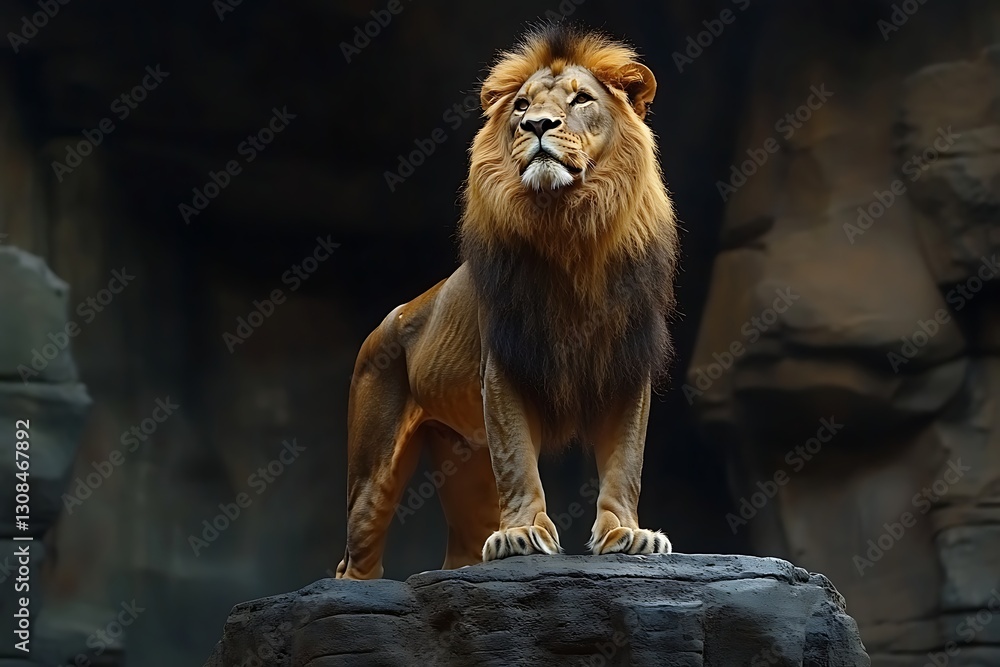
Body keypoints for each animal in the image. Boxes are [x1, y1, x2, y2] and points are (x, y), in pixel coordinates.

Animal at [336, 25, 678, 580]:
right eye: (522, 105)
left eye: (581, 99)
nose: (537, 125)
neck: (569, 230)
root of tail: (388, 320)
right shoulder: (504, 363)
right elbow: (518, 457)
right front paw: (522, 534)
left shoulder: (626, 363)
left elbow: (627, 460)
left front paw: (627, 534)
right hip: (372, 467)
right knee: (355, 561)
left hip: (464, 458)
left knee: (459, 553)